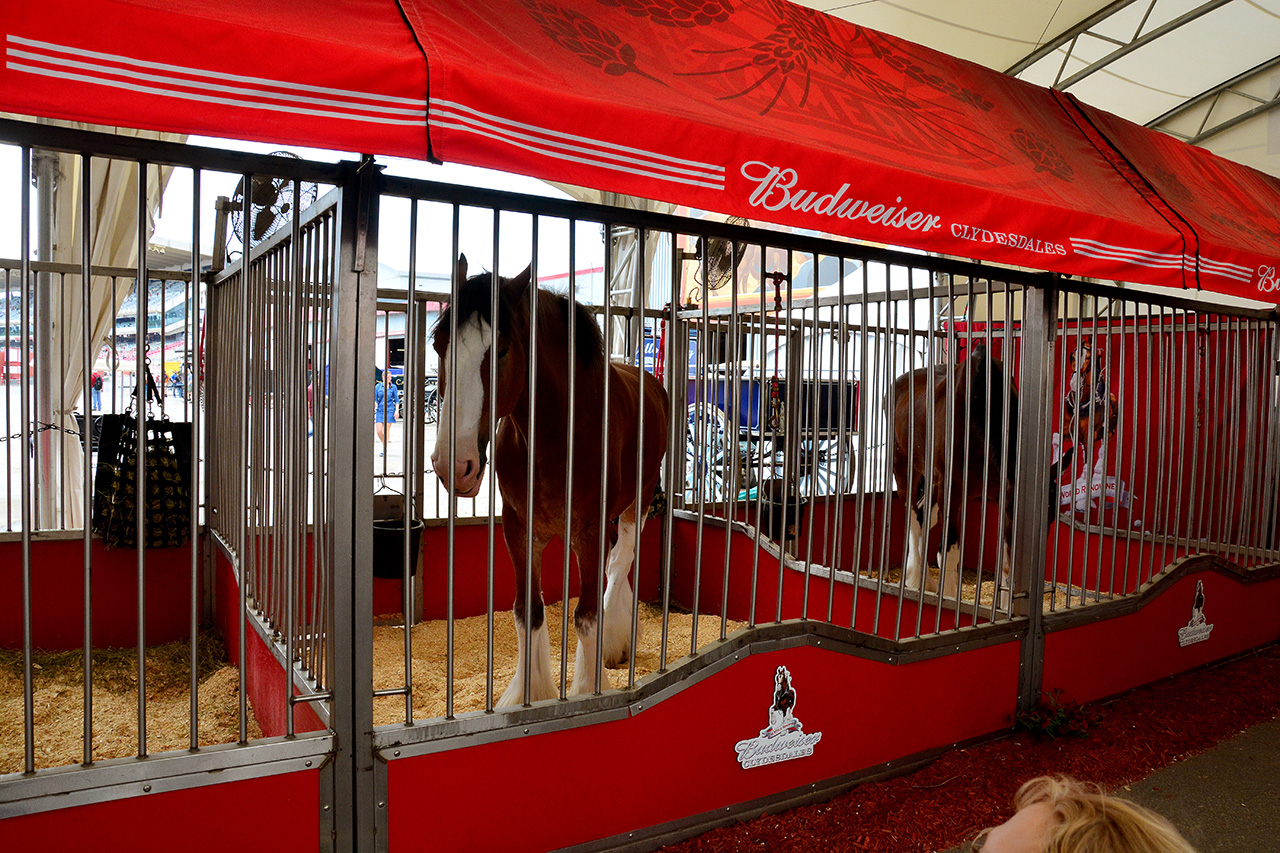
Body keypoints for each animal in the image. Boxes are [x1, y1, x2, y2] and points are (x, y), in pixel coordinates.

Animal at [430, 253, 670, 701]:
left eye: (502, 350)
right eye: (439, 345)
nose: (453, 464)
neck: (557, 433)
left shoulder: (589, 532)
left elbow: (587, 615)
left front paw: (588, 689)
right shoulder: (520, 530)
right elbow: (529, 612)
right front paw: (530, 693)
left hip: (640, 499)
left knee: (620, 563)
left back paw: (615, 640)